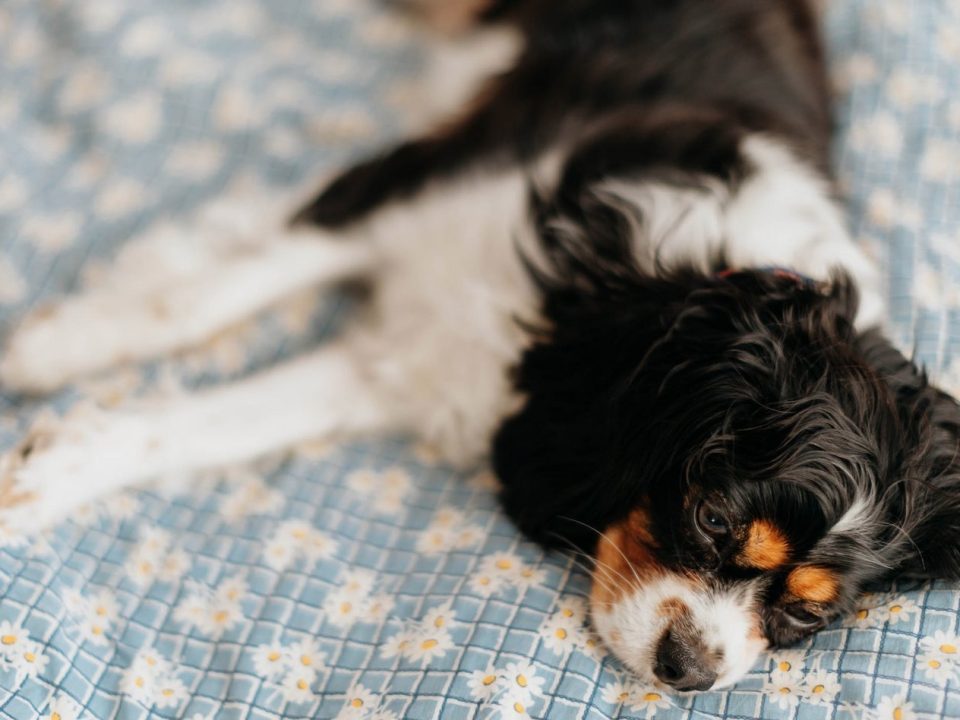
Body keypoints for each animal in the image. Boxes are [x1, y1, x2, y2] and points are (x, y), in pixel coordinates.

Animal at [1, 0, 960, 692]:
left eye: (803, 620)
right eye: (714, 518)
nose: (689, 673)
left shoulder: (411, 363)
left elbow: (206, 427)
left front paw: (47, 471)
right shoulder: (407, 186)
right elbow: (198, 301)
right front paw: (53, 350)